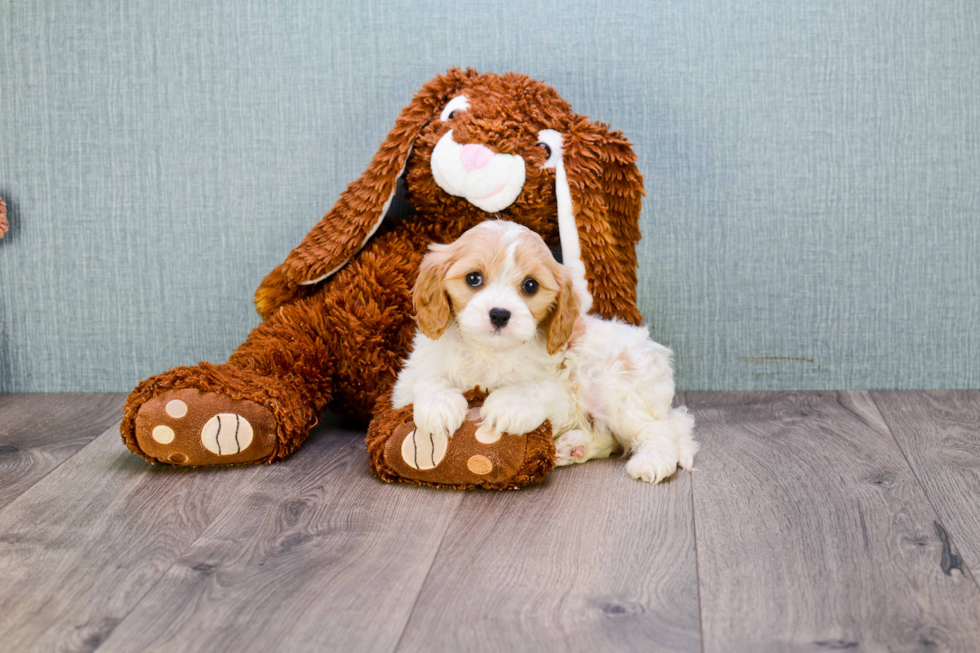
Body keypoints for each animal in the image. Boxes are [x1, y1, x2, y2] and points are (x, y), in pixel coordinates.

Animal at [390, 222, 696, 482]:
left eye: (530, 285)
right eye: (473, 278)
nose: (499, 314)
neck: (489, 351)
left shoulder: (565, 392)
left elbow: (538, 388)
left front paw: (509, 405)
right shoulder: (405, 383)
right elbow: (426, 378)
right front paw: (440, 406)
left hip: (617, 388)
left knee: (657, 430)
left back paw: (651, 460)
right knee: (610, 437)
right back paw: (573, 447)